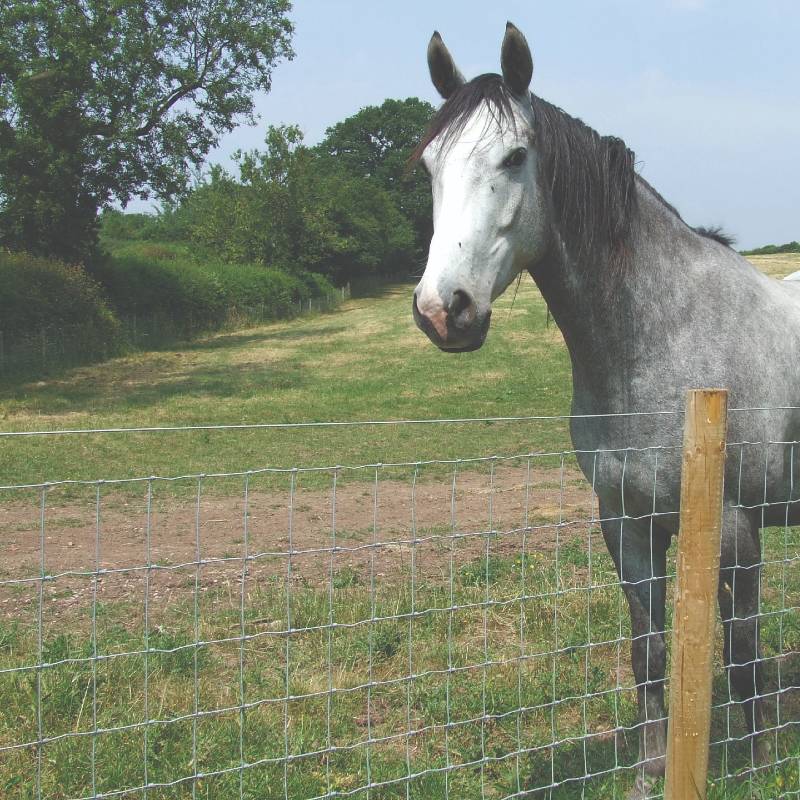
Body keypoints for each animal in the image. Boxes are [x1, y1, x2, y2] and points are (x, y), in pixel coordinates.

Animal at [412, 21, 800, 796]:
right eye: (430, 163)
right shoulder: (626, 524)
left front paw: (760, 761)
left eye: (515, 156)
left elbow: (740, 647)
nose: (444, 311)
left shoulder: (736, 526)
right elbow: (649, 651)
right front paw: (649, 771)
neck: (658, 335)